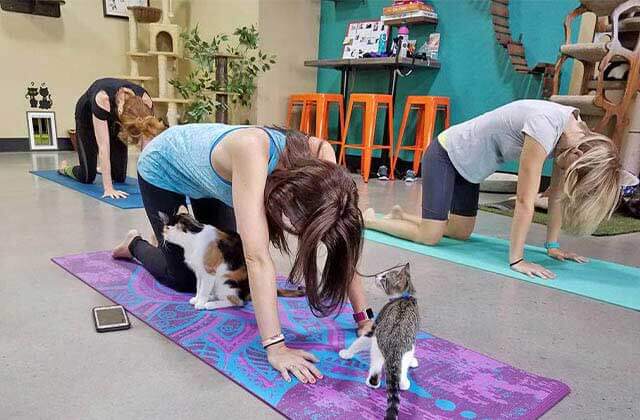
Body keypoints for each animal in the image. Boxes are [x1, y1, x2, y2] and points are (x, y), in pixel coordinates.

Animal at [159, 206, 302, 308]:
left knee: (237, 302)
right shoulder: (199, 273)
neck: (193, 239)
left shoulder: (209, 272)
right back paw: (212, 297)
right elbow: (199, 287)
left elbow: (204, 289)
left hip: (225, 281)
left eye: (167, 228)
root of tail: (248, 293)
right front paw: (196, 299)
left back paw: (210, 304)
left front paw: (200, 303)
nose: (162, 233)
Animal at [340, 262, 420, 420]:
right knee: (398, 377)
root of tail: (394, 348)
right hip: (402, 351)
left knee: (375, 376)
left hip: (377, 348)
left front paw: (347, 353)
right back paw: (404, 382)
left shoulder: (375, 328)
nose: (376, 276)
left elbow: (360, 341)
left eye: (384, 277)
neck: (404, 296)